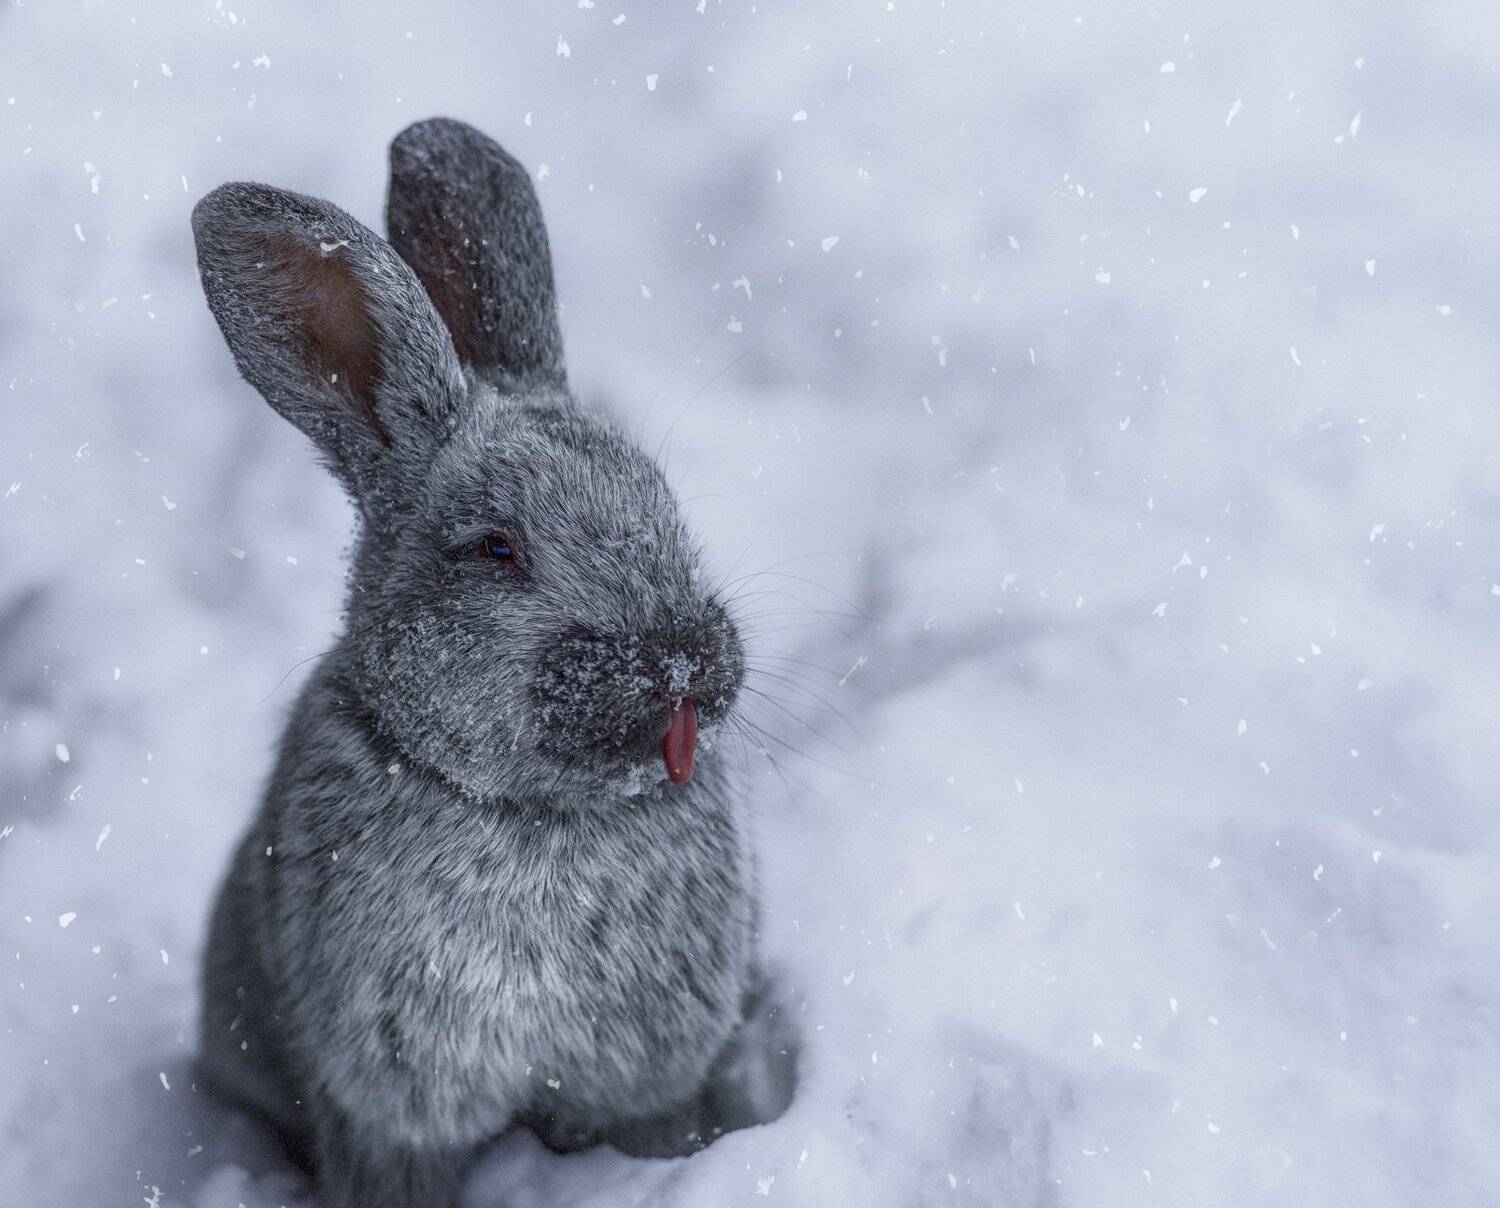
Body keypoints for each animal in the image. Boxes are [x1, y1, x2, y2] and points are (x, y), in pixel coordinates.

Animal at [191, 117, 797, 1208]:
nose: (685, 659)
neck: (532, 813)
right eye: (497, 549)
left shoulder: (644, 1076)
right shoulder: (388, 1104)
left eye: (660, 499)